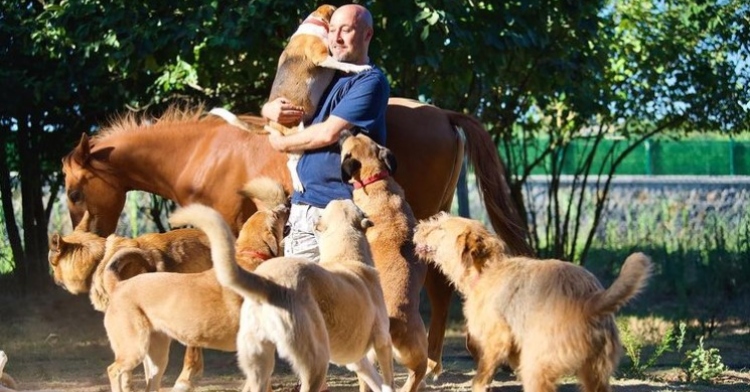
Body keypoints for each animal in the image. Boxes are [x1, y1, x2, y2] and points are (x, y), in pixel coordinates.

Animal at [100, 178, 288, 392]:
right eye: (275, 215)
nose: (287, 204)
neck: (249, 255)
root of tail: (118, 285)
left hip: (157, 356)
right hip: (134, 349)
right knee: (113, 370)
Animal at [169, 199, 394, 392]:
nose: (287, 204)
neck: (346, 256)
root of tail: (269, 286)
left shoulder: (359, 360)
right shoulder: (382, 342)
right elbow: (387, 381)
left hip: (260, 362)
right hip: (316, 362)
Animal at [412, 211, 652, 392]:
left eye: (440, 229)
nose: (416, 227)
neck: (488, 270)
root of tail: (589, 302)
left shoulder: (496, 340)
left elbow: (482, 376)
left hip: (538, 367)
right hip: (595, 373)